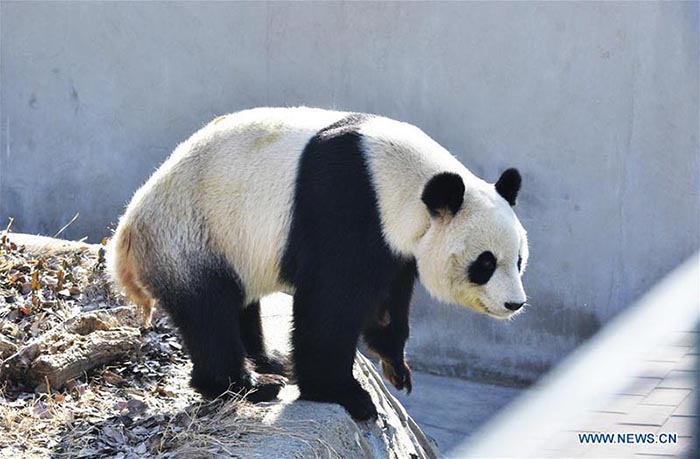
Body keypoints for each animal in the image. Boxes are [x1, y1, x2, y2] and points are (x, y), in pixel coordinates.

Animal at [108, 107, 529, 421]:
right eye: (485, 263)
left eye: (519, 260)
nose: (515, 304)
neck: (404, 181)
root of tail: (125, 235)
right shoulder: (347, 202)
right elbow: (331, 303)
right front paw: (346, 394)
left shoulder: (393, 244)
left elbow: (388, 301)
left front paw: (396, 369)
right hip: (190, 236)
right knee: (209, 312)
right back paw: (247, 385)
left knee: (240, 304)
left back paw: (271, 362)